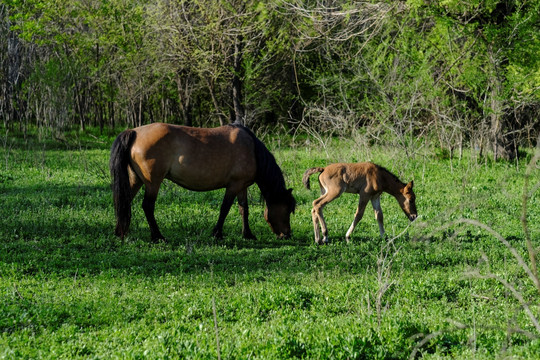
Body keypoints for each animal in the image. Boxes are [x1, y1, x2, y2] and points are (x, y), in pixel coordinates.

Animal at [109, 121, 296, 242]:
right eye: (287, 209)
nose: (287, 234)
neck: (252, 150)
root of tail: (134, 132)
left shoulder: (241, 186)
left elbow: (244, 210)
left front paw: (248, 234)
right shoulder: (233, 186)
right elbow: (225, 209)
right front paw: (217, 233)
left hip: (136, 180)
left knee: (124, 201)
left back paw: (121, 232)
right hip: (152, 183)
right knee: (147, 206)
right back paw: (158, 237)